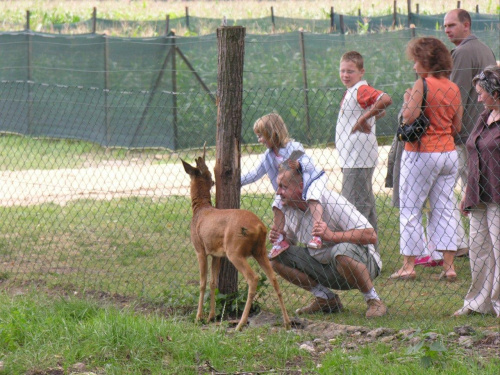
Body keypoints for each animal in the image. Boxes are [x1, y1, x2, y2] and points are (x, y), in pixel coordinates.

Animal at [182, 151, 292, 332]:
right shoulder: (216, 254)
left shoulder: (200, 249)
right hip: (260, 250)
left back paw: (240, 324)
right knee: (273, 278)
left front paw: (199, 317)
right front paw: (211, 316)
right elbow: (213, 283)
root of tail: (259, 226)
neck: (200, 210)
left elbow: (202, 283)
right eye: (209, 174)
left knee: (253, 278)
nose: (213, 181)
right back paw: (287, 322)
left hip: (235, 251)